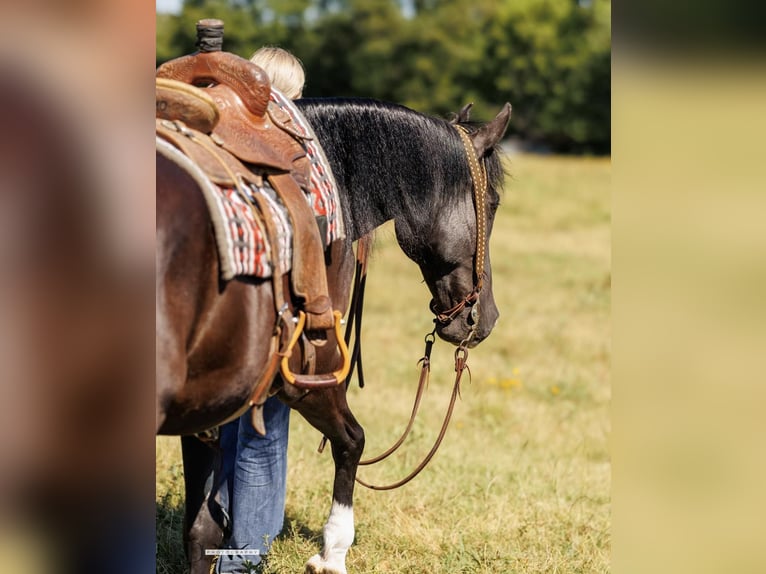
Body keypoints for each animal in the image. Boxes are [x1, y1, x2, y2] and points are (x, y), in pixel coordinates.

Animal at [158, 97, 510, 572]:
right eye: (492, 203)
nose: (486, 317)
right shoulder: (309, 377)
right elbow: (353, 440)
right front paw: (333, 551)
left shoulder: (209, 402)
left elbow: (201, 530)